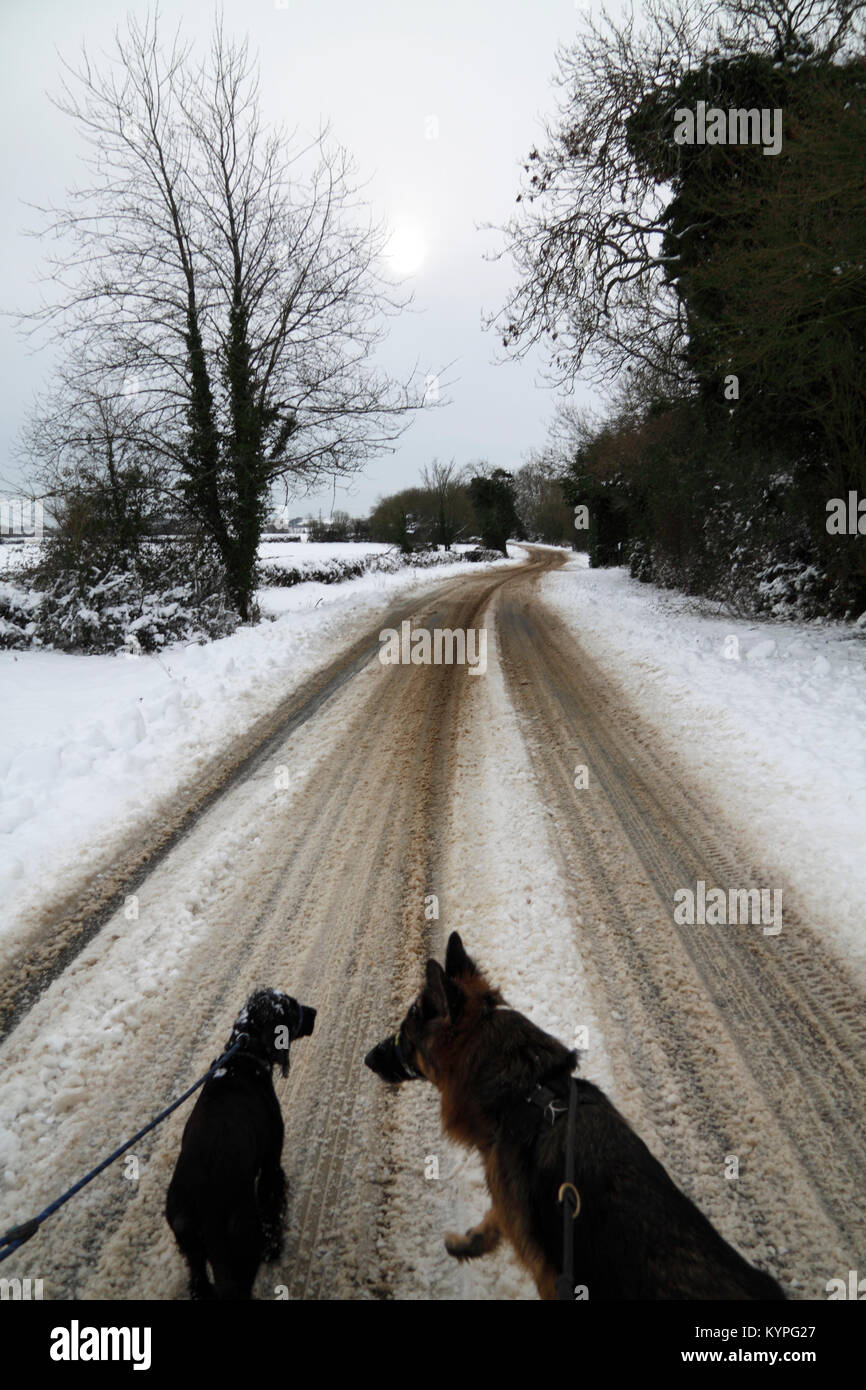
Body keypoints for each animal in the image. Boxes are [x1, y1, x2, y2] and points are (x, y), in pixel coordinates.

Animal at [166, 984, 315, 1295]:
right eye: (292, 1006)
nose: (314, 1012)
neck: (242, 1058)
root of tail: (203, 1210)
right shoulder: (271, 1162)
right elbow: (272, 1203)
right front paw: (274, 1247)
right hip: (239, 1250)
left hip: (192, 1252)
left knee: (198, 1282)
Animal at [366, 934, 783, 1301]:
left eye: (404, 1034)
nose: (369, 1058)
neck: (531, 1089)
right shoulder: (517, 1211)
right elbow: (496, 1219)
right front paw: (471, 1243)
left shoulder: (546, 1271)